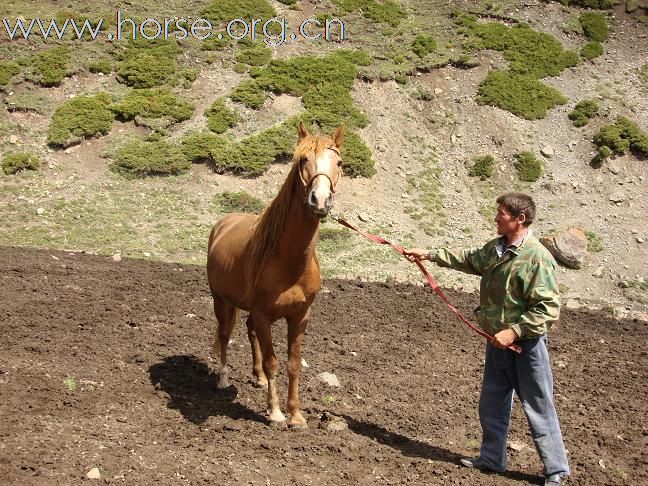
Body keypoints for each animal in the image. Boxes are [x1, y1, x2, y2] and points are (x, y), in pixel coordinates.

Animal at [208, 121, 344, 430]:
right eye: (303, 160)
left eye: (339, 163)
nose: (320, 200)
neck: (288, 262)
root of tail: (224, 223)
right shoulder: (263, 314)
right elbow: (273, 363)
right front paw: (276, 413)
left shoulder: (300, 316)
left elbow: (293, 365)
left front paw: (296, 415)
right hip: (221, 300)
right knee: (224, 335)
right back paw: (222, 380)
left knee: (248, 332)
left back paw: (257, 378)